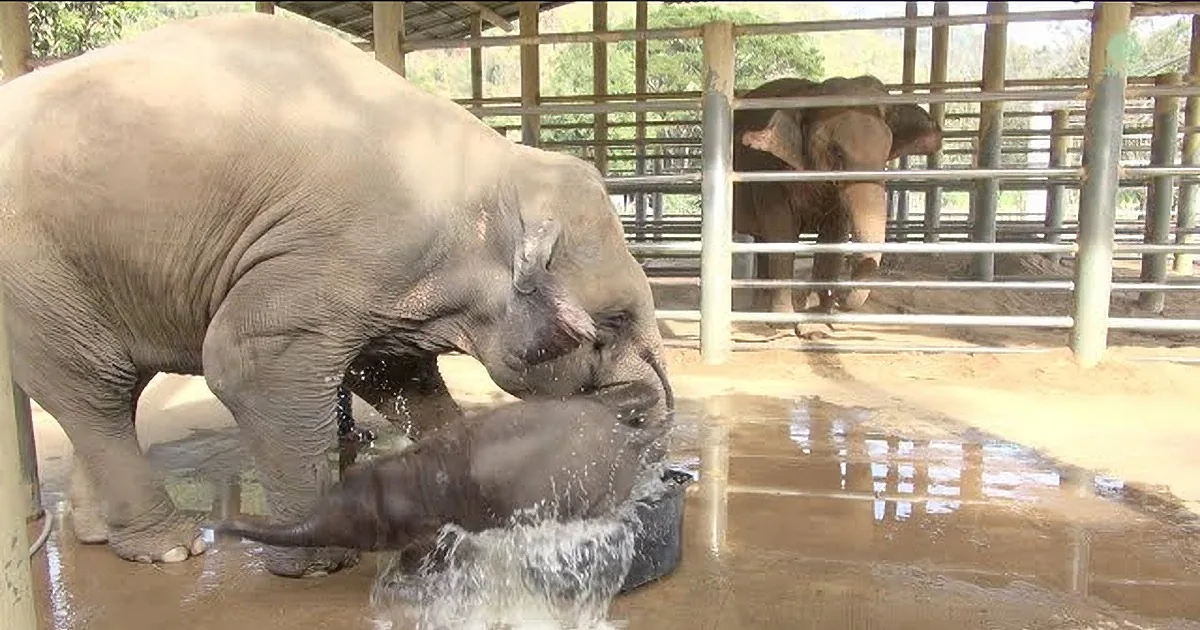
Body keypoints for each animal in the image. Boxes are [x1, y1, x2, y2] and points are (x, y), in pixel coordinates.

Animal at [216, 380, 664, 569]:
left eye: (355, 530)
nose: (218, 527)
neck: (401, 473)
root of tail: (627, 436)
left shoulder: (427, 523)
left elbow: (428, 546)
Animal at [733, 75, 944, 316]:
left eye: (886, 154)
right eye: (836, 152)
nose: (838, 299)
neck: (810, 92)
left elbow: (835, 233)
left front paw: (821, 314)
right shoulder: (768, 172)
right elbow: (781, 233)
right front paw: (784, 317)